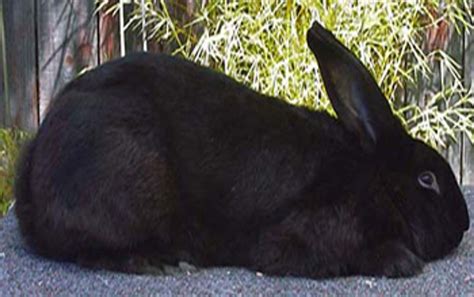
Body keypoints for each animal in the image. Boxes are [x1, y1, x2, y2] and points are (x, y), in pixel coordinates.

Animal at [12, 21, 468, 278]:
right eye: (427, 179)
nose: (464, 224)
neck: (373, 179)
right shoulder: (303, 234)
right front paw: (402, 262)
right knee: (89, 250)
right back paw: (159, 262)